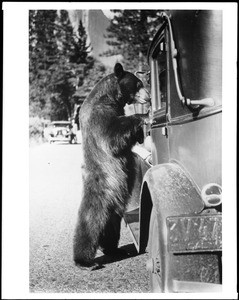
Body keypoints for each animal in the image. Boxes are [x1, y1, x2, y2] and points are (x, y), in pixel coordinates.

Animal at [74, 62, 150, 268]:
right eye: (138, 84)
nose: (148, 97)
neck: (110, 97)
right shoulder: (100, 114)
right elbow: (111, 136)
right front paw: (143, 116)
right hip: (103, 191)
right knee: (90, 221)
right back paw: (84, 260)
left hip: (115, 205)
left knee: (111, 227)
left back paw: (113, 249)